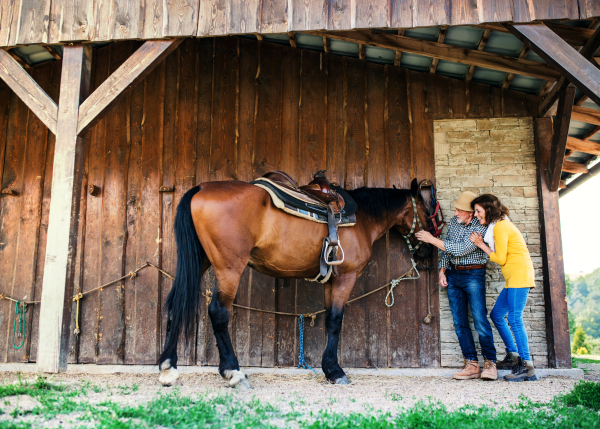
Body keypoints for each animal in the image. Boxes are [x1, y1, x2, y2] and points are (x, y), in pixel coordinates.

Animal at [157, 177, 434, 388]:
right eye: (429, 212)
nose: (428, 252)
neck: (362, 218)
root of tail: (201, 188)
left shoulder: (331, 281)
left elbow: (329, 320)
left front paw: (329, 368)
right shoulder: (346, 277)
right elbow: (336, 321)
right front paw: (335, 371)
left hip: (200, 261)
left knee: (176, 302)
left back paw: (168, 368)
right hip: (229, 268)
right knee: (218, 312)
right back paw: (233, 372)